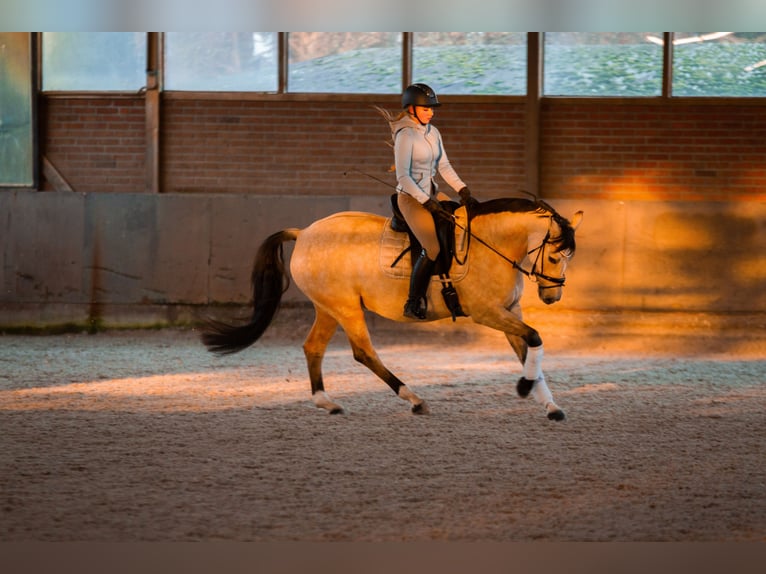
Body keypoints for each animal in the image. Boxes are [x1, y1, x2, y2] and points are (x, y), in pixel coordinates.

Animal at [201, 199, 584, 424]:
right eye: (554, 256)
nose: (552, 297)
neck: (490, 244)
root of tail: (305, 232)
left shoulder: (508, 311)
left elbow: (528, 349)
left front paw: (550, 405)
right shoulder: (486, 312)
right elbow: (535, 338)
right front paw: (524, 388)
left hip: (328, 308)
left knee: (313, 348)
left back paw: (328, 402)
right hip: (345, 307)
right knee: (363, 352)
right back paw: (413, 399)